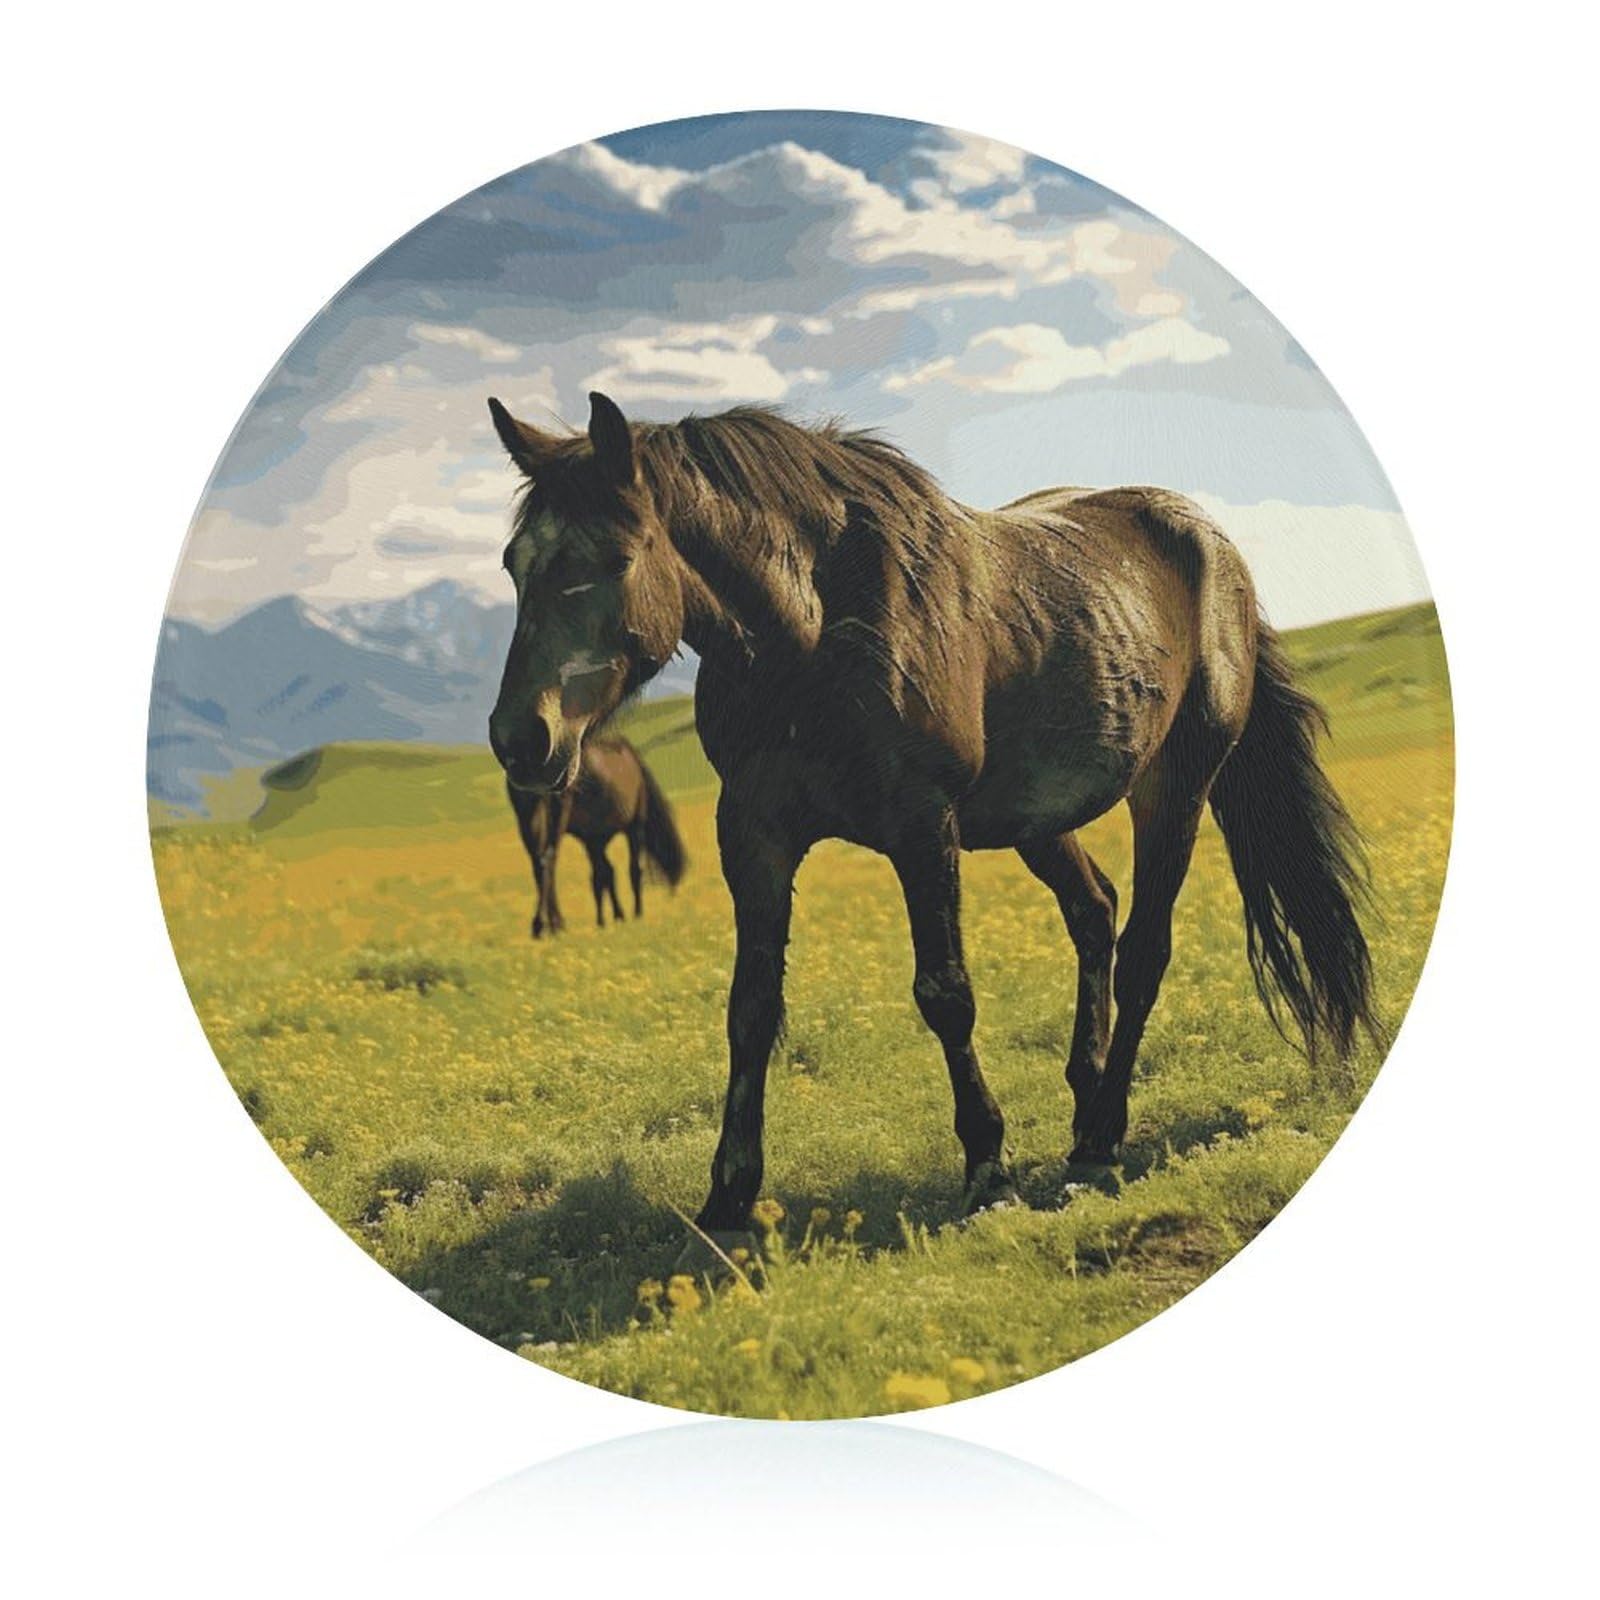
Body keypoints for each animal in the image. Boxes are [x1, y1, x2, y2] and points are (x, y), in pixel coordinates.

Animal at [507, 736, 686, 937]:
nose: (673, 891)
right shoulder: (614, 831)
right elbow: (614, 874)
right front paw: (623, 916)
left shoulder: (593, 837)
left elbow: (603, 875)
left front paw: (613, 917)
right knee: (548, 860)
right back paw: (550, 923)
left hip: (535, 817)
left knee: (542, 862)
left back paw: (552, 924)